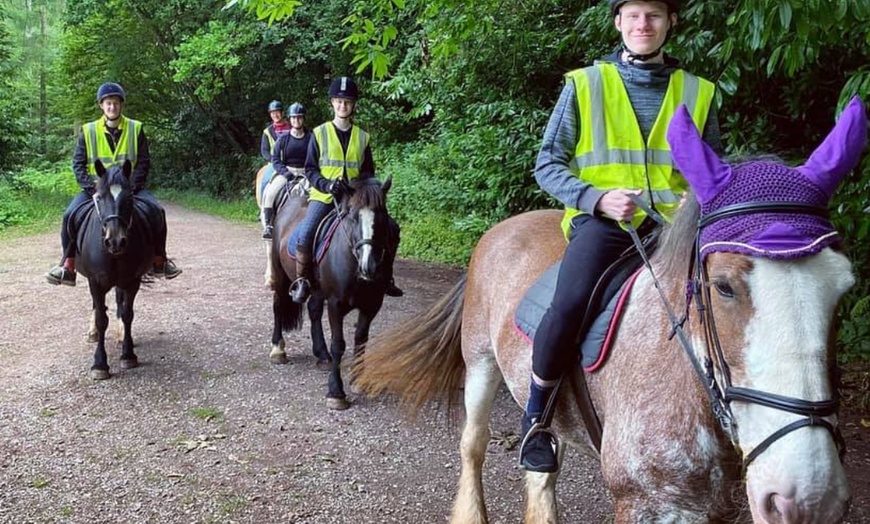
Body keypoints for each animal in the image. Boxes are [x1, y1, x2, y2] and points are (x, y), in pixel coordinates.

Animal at [75, 160, 164, 380]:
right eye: (99, 197)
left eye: (129, 197)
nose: (115, 241)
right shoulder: (95, 282)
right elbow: (101, 318)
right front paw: (99, 364)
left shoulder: (132, 280)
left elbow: (127, 313)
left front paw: (128, 354)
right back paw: (93, 333)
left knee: (119, 302)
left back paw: (120, 334)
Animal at [270, 176, 398, 410]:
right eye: (354, 217)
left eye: (383, 216)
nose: (369, 266)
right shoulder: (336, 304)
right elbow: (339, 344)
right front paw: (336, 392)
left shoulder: (372, 304)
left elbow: (361, 338)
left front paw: (358, 380)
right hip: (280, 273)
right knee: (278, 305)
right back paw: (278, 350)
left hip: (317, 290)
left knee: (313, 311)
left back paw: (321, 355)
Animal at [352, 99, 864, 524]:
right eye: (724, 287)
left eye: (843, 290)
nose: (808, 498)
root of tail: (499, 231)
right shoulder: (644, 505)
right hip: (480, 363)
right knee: (473, 446)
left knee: (542, 469)